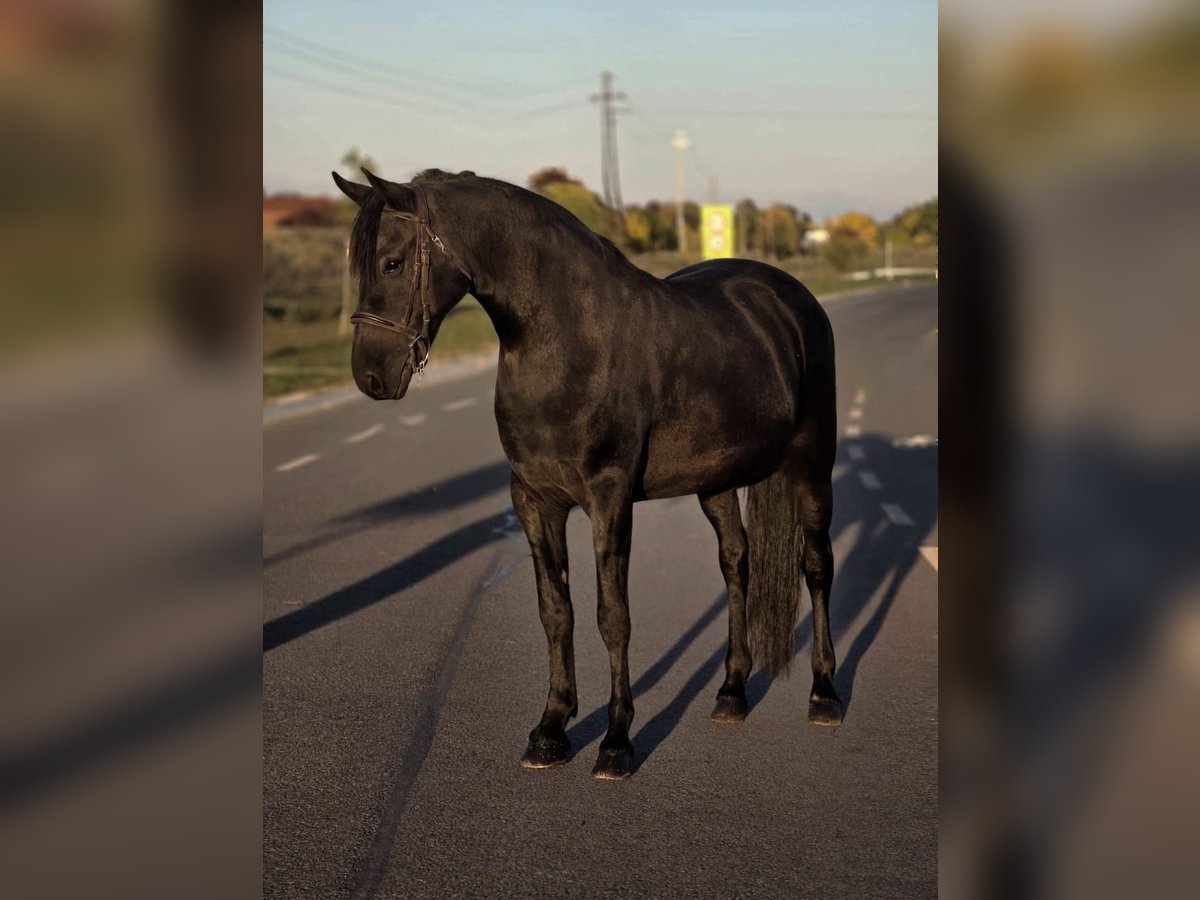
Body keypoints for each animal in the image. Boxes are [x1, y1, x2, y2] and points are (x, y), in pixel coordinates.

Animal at [332, 168, 842, 780]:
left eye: (392, 263)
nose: (370, 375)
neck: (569, 340)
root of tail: (791, 297)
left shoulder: (609, 500)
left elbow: (611, 615)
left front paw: (616, 742)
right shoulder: (534, 501)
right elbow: (556, 612)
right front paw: (551, 730)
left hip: (813, 466)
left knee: (816, 566)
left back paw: (824, 694)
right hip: (716, 482)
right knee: (736, 564)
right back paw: (731, 693)